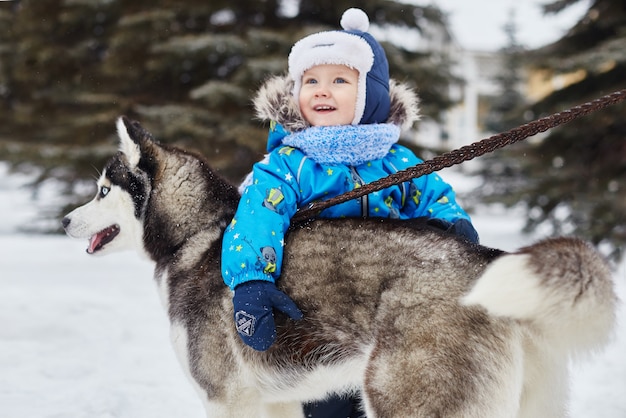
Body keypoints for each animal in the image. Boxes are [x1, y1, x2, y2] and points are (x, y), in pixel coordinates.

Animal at [61, 116, 616, 418]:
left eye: (103, 191)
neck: (198, 234)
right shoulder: (275, 401)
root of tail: (486, 259)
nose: (64, 219)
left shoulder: (226, 397)